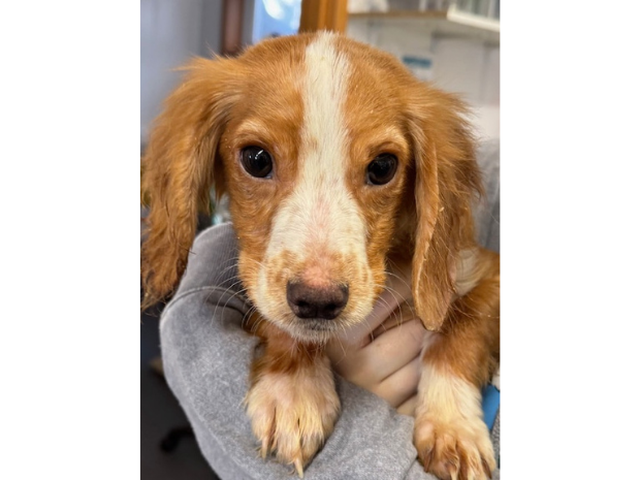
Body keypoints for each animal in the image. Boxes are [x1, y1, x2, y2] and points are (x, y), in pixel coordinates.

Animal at [140, 31, 500, 478]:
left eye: (383, 167)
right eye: (256, 159)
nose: (318, 301)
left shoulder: (483, 271)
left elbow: (460, 332)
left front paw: (454, 427)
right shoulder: (257, 280)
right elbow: (276, 318)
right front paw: (293, 390)